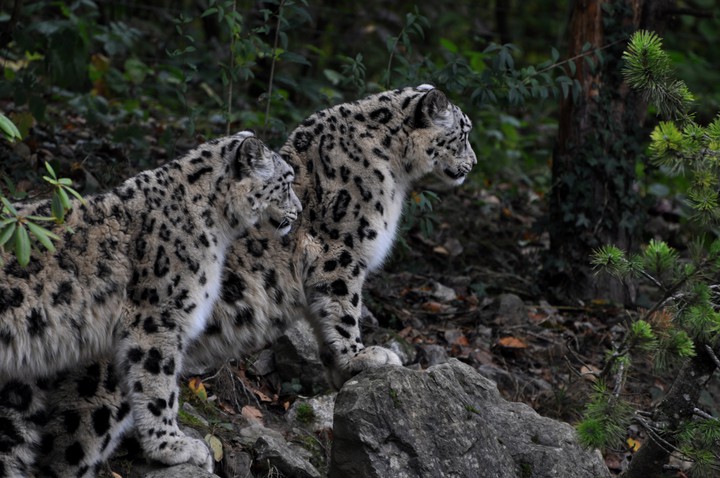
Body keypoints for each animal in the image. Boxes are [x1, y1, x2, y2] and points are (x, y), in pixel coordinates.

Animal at [30, 84, 477, 477]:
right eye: (464, 132)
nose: (472, 165)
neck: (394, 172)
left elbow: (324, 319)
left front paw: (340, 370)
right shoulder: (340, 254)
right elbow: (344, 307)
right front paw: (362, 356)